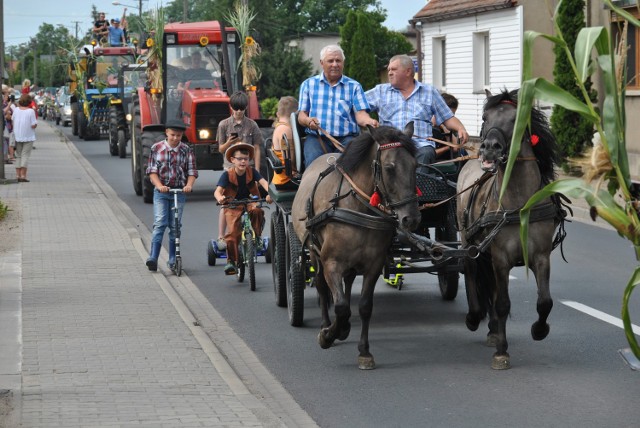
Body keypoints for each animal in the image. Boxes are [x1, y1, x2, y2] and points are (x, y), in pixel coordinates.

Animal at [290, 123, 420, 368]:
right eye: (389, 168)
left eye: (415, 166)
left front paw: (364, 351)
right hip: (313, 251)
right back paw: (326, 324)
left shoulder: (374, 265)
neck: (357, 206)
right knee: (321, 285)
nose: (411, 219)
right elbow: (340, 306)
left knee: (348, 282)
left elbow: (364, 306)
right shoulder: (331, 262)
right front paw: (328, 335)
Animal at [456, 88, 564, 370]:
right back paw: (474, 318)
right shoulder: (501, 257)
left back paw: (493, 330)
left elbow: (545, 301)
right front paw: (502, 352)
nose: (489, 148)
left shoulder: (540, 256)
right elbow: (503, 303)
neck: (519, 204)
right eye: (485, 117)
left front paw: (539, 330)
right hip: (467, 242)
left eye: (517, 119)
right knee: (471, 273)